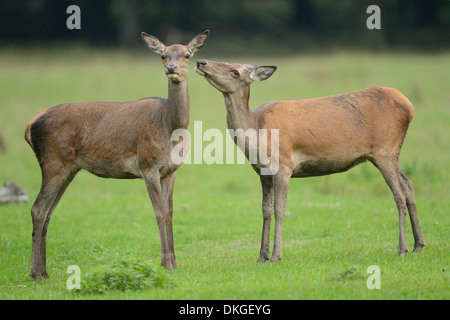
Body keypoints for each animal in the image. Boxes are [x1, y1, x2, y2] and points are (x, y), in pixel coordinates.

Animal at [22, 30, 209, 280]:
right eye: (163, 55)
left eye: (187, 55)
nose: (171, 68)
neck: (170, 129)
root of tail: (30, 125)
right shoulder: (148, 166)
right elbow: (159, 213)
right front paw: (165, 263)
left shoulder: (171, 171)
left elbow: (170, 213)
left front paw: (175, 262)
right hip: (53, 162)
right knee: (38, 209)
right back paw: (36, 273)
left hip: (68, 170)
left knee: (48, 212)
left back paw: (43, 271)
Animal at [196, 58, 426, 264]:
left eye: (235, 71)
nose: (201, 62)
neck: (257, 131)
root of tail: (410, 107)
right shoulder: (263, 173)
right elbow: (265, 211)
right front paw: (261, 256)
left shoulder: (284, 165)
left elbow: (280, 209)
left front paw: (276, 256)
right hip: (389, 154)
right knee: (408, 185)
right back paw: (419, 244)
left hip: (384, 151)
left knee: (398, 193)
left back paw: (402, 248)